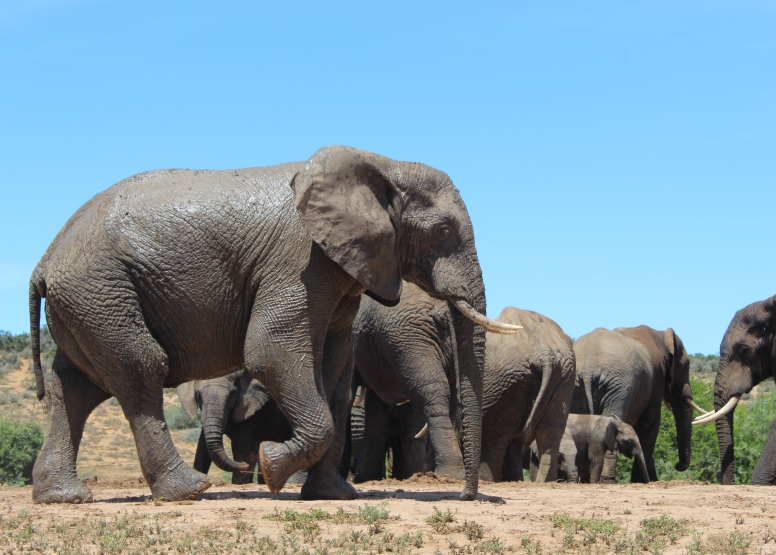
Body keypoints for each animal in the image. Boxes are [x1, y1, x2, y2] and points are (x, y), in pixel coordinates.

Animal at [28, 144, 516, 504]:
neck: (381, 164)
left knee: (76, 388)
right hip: (101, 290)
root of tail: (44, 262)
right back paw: (187, 492)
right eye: (444, 232)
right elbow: (271, 350)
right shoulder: (299, 261)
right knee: (139, 369)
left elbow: (334, 374)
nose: (467, 496)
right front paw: (271, 467)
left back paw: (64, 497)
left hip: (87, 303)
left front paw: (332, 494)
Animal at [568, 326, 704, 482]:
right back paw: (607, 481)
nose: (678, 465)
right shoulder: (657, 378)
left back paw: (585, 481)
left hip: (576, 385)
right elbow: (650, 423)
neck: (661, 334)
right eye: (686, 365)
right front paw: (645, 481)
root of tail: (588, 368)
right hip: (619, 389)